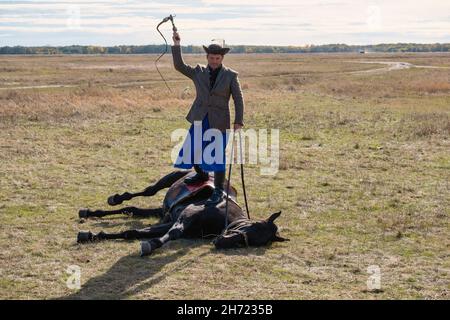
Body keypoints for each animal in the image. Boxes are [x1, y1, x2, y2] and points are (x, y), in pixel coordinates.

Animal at [77, 170, 288, 258]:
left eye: (249, 242)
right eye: (249, 227)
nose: (219, 242)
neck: (221, 214)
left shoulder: (170, 222)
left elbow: (133, 232)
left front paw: (92, 235)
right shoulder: (183, 220)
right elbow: (172, 234)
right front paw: (150, 245)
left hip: (164, 212)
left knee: (133, 210)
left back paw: (91, 213)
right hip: (169, 179)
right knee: (146, 192)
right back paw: (113, 199)